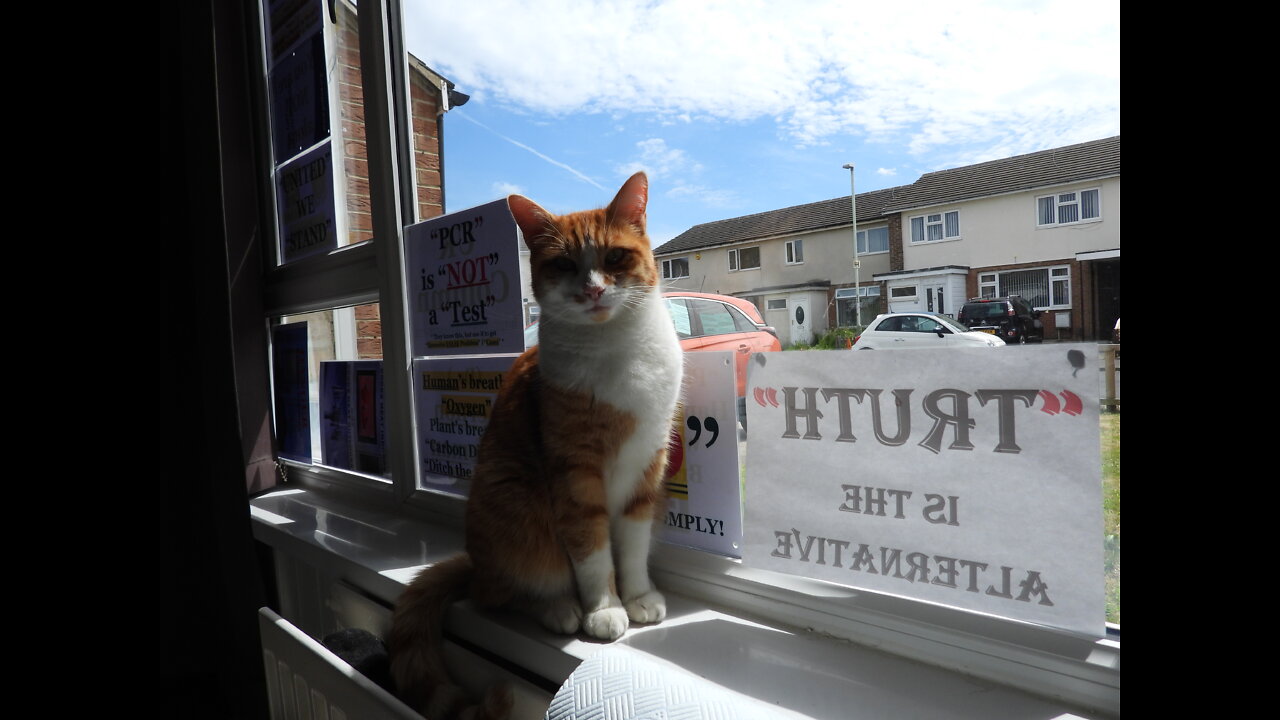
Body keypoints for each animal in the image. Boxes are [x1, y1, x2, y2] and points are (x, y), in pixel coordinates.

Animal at [389, 170, 686, 712]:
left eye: (615, 257)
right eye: (565, 265)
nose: (592, 290)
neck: (615, 350)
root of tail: (475, 562)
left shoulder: (647, 464)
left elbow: (632, 545)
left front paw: (636, 596)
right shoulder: (575, 473)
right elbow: (592, 550)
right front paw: (605, 608)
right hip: (516, 504)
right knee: (500, 593)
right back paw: (558, 608)